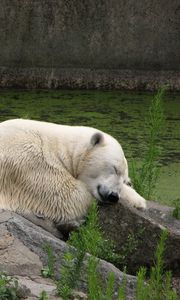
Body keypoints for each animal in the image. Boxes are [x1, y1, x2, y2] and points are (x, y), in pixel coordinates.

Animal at [0, 118, 146, 224]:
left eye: (125, 179)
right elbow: (66, 196)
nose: (113, 196)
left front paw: (139, 201)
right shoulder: (30, 161)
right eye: (115, 168)